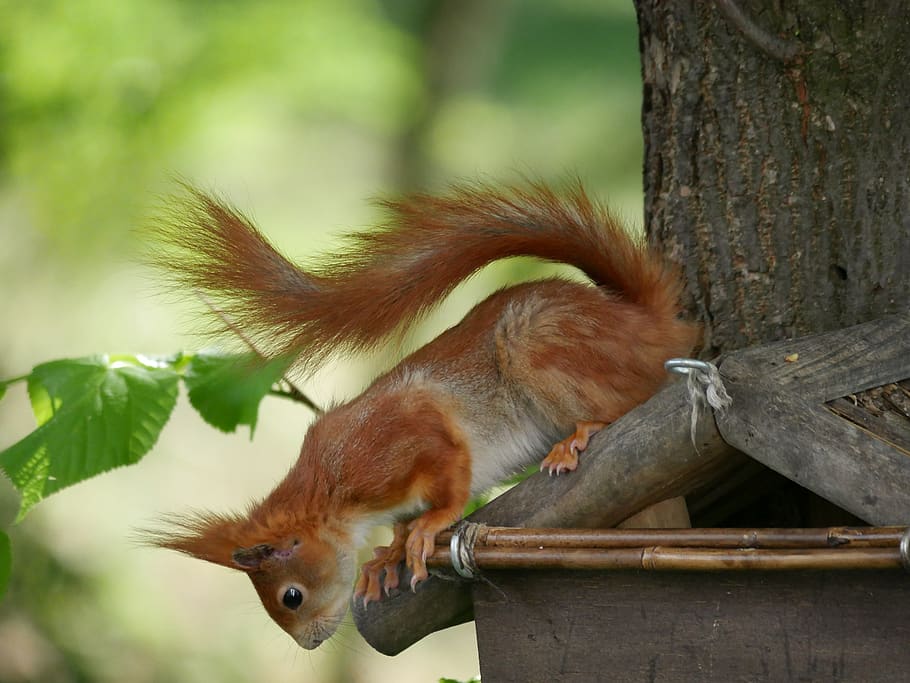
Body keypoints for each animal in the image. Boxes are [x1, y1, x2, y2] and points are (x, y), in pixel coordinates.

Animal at [146, 180, 699, 649]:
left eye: (291, 596)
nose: (307, 643)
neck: (333, 491)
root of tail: (642, 325)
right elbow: (399, 526)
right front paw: (387, 556)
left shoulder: (401, 440)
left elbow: (451, 477)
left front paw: (429, 525)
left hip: (538, 343)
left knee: (623, 403)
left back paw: (576, 437)